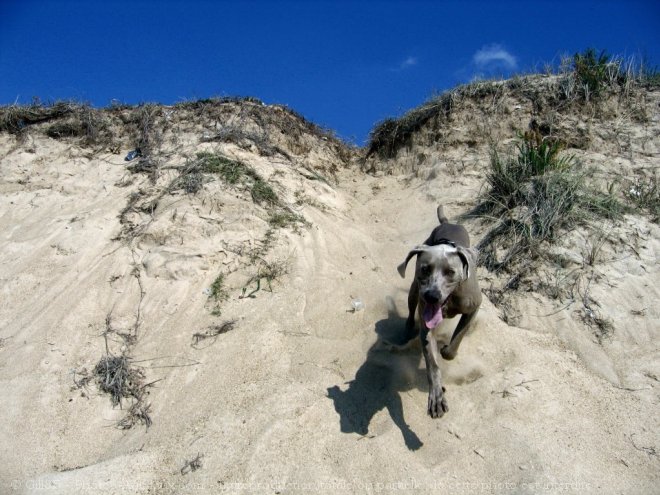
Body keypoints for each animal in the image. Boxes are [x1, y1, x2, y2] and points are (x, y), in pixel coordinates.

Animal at [394, 205, 482, 418]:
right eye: (425, 269)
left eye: (451, 272)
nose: (432, 296)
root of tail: (447, 222)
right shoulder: (427, 329)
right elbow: (433, 365)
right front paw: (436, 396)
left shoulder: (474, 307)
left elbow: (456, 340)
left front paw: (446, 350)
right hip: (414, 290)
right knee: (410, 313)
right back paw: (406, 332)